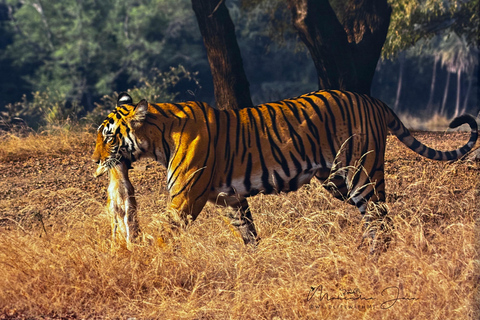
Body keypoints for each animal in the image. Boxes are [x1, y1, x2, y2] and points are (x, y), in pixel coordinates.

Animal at [92, 90, 478, 248]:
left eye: (109, 137)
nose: (95, 161)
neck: (158, 136)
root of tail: (374, 99)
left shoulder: (184, 200)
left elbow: (162, 233)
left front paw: (142, 257)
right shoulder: (231, 200)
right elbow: (249, 234)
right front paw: (255, 263)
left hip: (360, 174)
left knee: (380, 217)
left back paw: (378, 255)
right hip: (337, 181)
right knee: (379, 215)